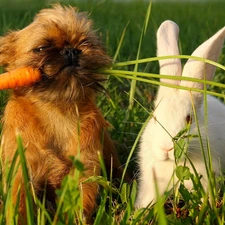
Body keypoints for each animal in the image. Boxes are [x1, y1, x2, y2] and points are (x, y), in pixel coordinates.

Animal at [0, 4, 123, 224]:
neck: (57, 111)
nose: (71, 51)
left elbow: (78, 205)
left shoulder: (84, 169)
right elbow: (18, 205)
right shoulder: (20, 171)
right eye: (41, 48)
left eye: (85, 42)